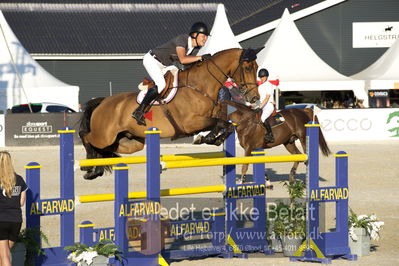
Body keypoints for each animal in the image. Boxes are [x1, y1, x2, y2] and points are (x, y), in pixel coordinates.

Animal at [79, 48, 264, 181]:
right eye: (247, 68)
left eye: (256, 68)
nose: (255, 98)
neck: (199, 86)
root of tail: (103, 101)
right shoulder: (190, 123)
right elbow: (220, 123)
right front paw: (208, 138)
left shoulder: (205, 120)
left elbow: (225, 125)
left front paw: (211, 139)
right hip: (104, 136)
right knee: (86, 136)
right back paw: (88, 167)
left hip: (129, 142)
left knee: (104, 150)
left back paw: (96, 169)